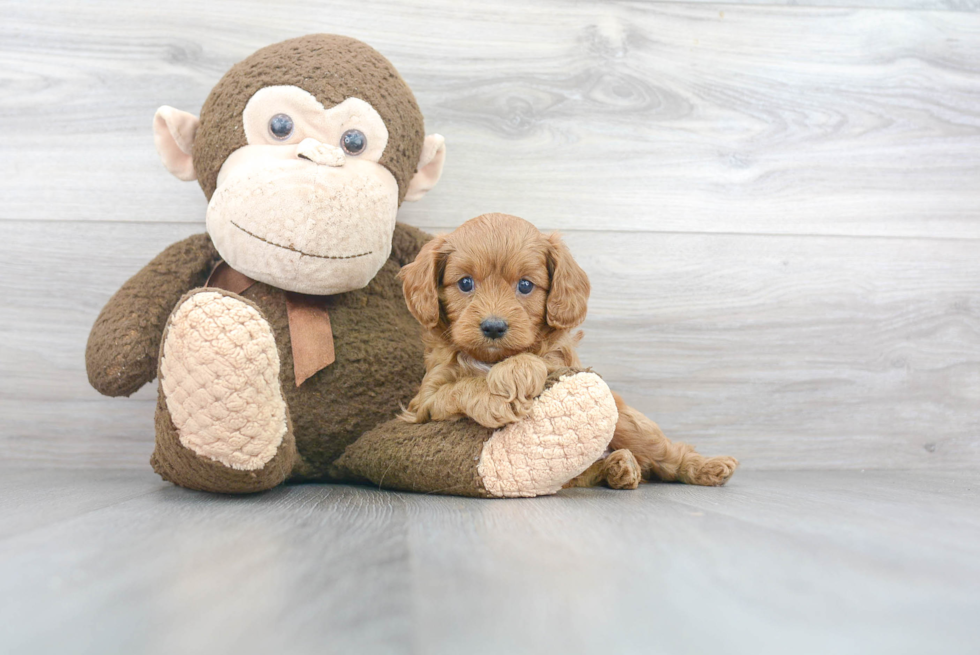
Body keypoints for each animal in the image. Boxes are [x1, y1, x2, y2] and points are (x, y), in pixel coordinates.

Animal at [396, 213, 736, 490]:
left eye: (525, 285)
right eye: (465, 283)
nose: (493, 327)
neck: (492, 359)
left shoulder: (563, 364)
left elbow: (538, 361)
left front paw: (516, 371)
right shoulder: (424, 402)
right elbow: (458, 387)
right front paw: (495, 395)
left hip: (628, 422)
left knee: (666, 454)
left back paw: (706, 467)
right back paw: (619, 467)